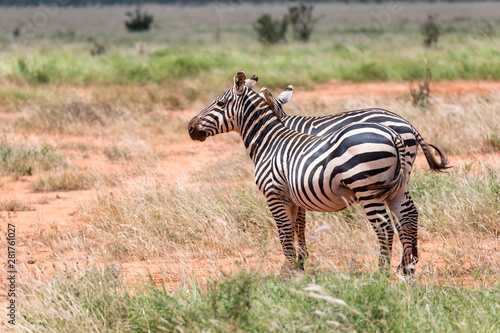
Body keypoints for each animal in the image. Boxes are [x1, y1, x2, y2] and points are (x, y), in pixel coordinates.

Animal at [252, 80, 452, 272]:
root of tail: (407, 123)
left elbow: (299, 223)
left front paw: (299, 261)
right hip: (399, 180)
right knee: (408, 213)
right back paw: (408, 263)